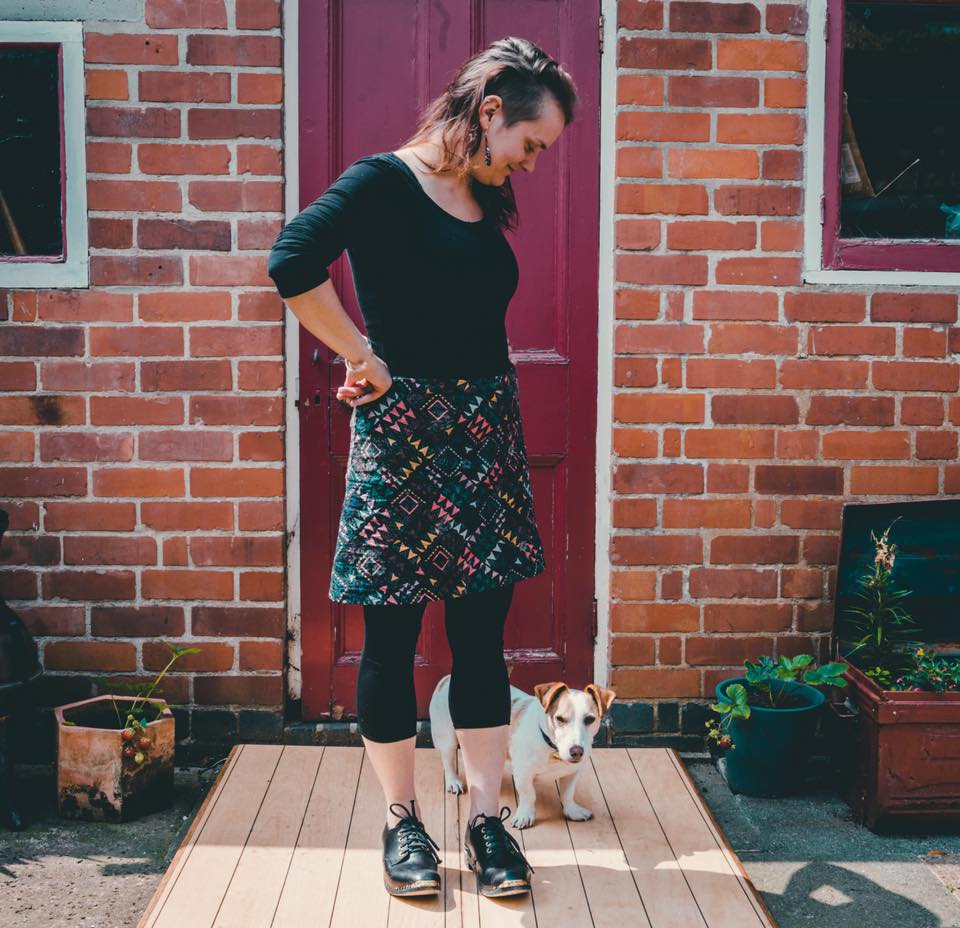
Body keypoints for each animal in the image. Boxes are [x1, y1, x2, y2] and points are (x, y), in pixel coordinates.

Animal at [428, 676, 616, 828]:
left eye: (590, 719)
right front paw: (525, 816)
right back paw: (453, 782)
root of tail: (446, 679)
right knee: (448, 763)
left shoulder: (572, 773)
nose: (576, 751)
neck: (552, 749)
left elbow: (568, 794)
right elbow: (528, 795)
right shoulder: (523, 774)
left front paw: (572, 811)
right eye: (560, 719)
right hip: (447, 739)